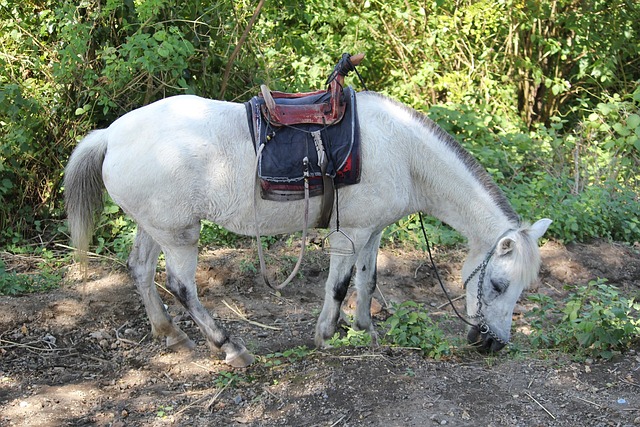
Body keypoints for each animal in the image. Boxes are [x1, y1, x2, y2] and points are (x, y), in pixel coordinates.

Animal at [65, 93, 552, 368]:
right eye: (497, 283)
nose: (492, 344)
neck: (404, 153)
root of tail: (111, 134)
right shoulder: (349, 233)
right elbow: (338, 285)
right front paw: (326, 336)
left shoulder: (372, 231)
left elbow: (367, 280)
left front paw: (366, 331)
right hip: (180, 235)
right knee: (182, 286)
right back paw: (231, 348)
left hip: (155, 228)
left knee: (141, 270)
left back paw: (168, 332)